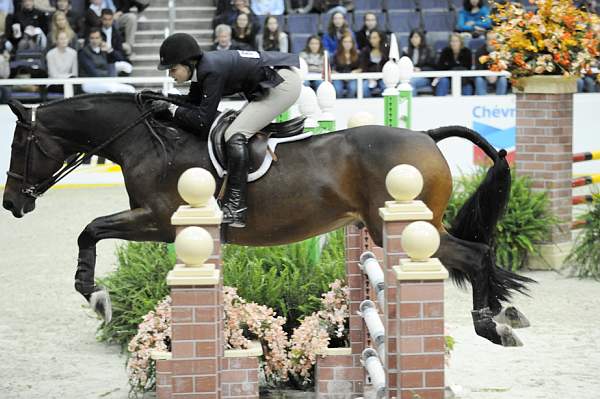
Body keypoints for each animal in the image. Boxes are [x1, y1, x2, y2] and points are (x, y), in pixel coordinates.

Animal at [2, 94, 532, 346]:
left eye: (20, 144)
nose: (11, 204)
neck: (147, 141)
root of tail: (425, 135)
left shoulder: (158, 221)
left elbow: (89, 229)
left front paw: (95, 297)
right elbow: (91, 230)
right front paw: (95, 295)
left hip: (403, 228)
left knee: (475, 254)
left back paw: (492, 325)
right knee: (477, 255)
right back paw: (502, 315)